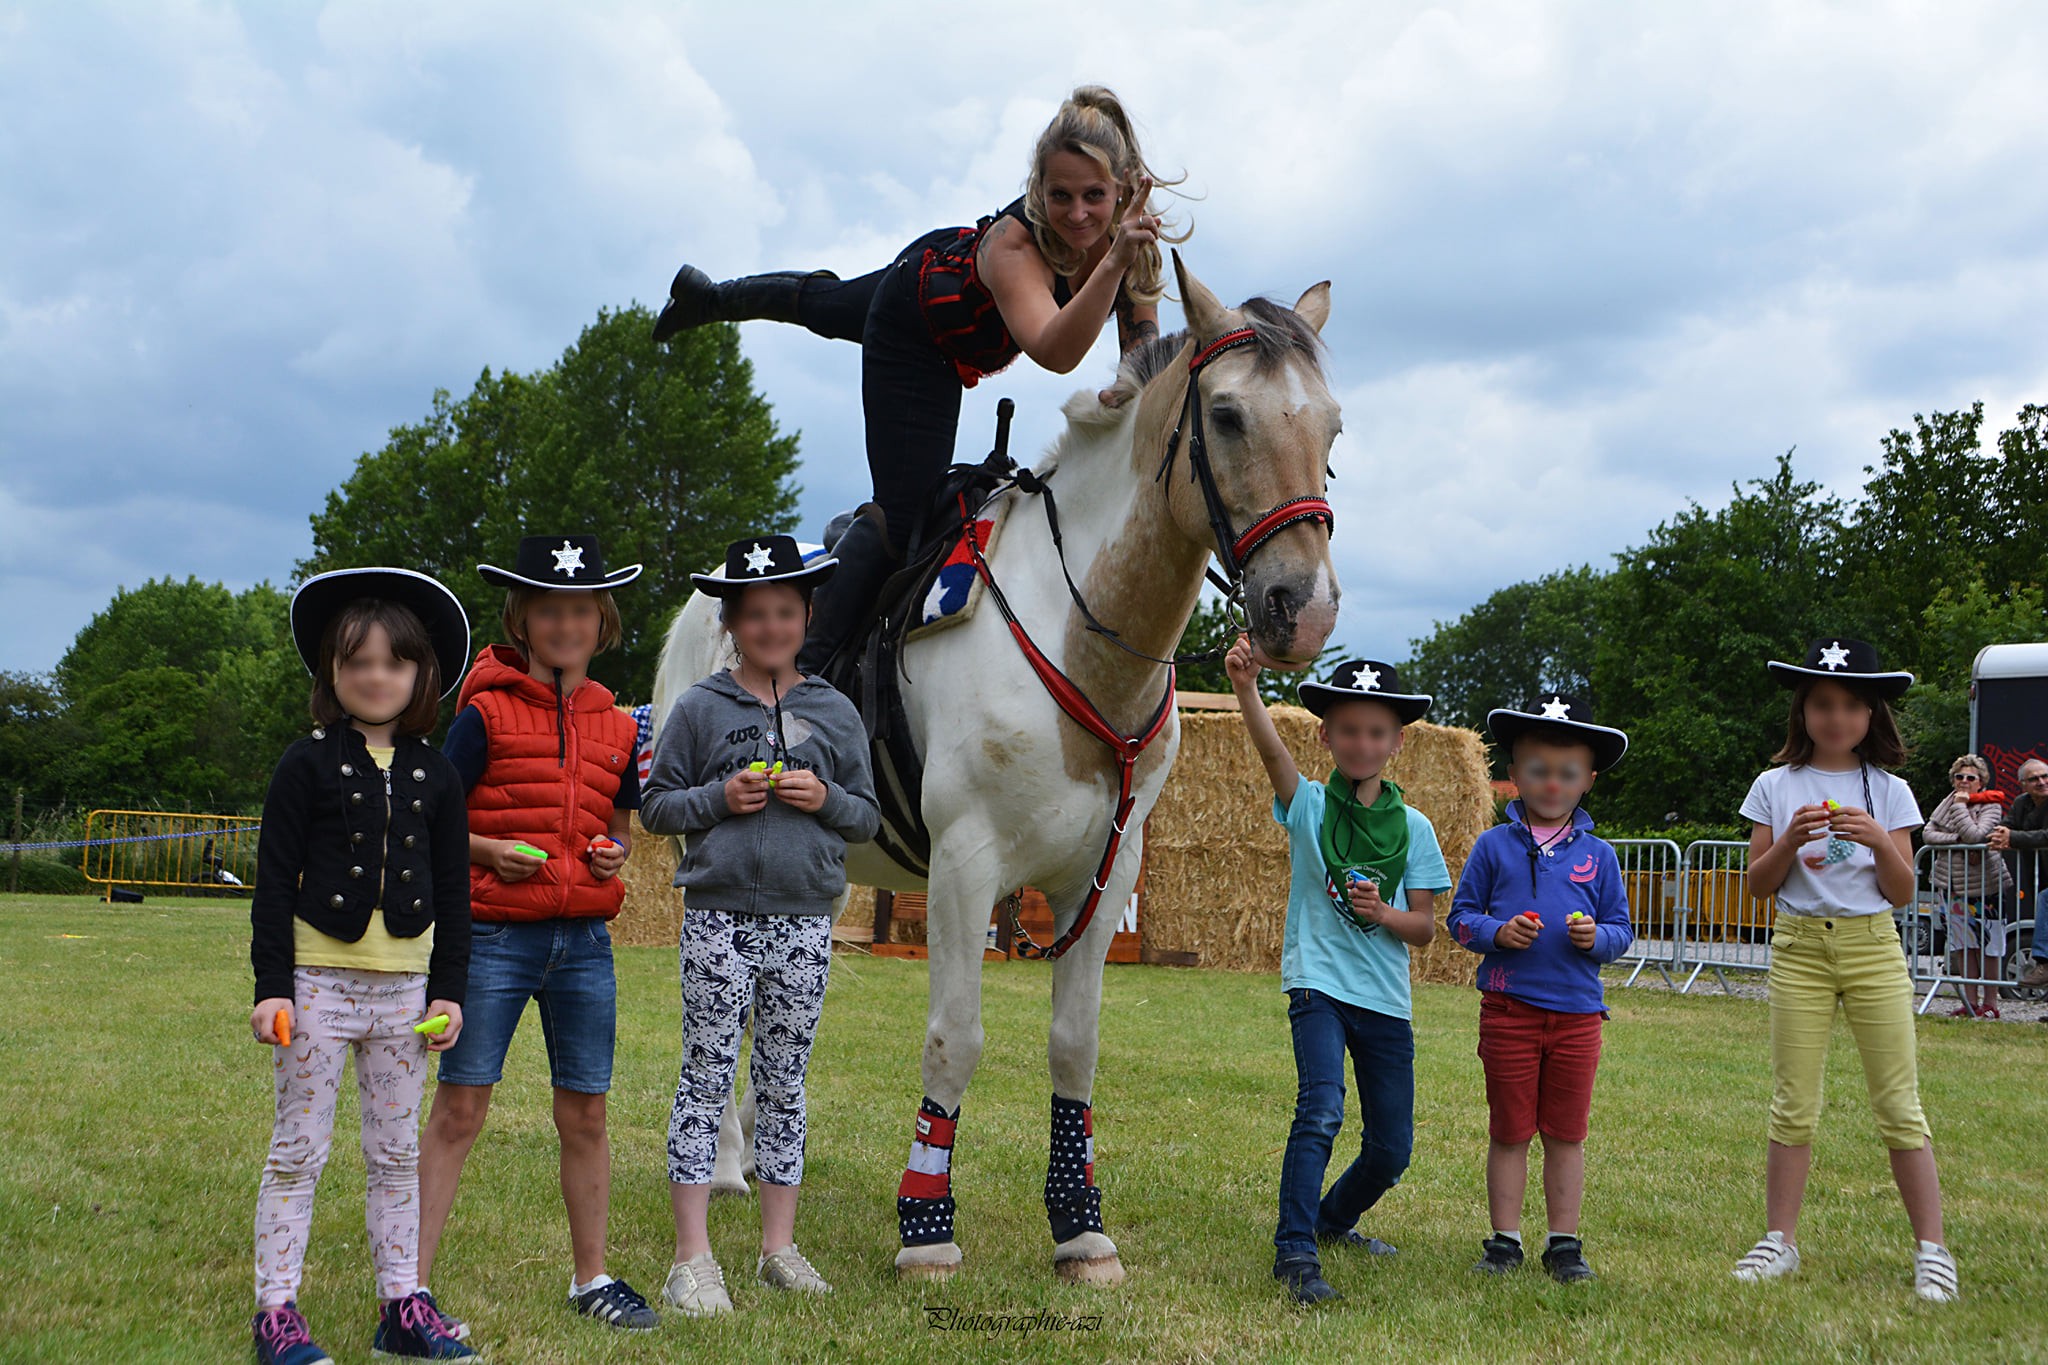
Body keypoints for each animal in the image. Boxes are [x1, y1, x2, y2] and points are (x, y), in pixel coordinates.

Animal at [647, 253, 1335, 1285]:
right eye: (1226, 416)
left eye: (1332, 426)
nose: (1304, 606)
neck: (1079, 629)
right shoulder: (966, 866)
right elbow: (955, 1038)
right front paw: (925, 1225)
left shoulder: (1109, 873)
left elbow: (1075, 1045)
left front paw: (1081, 1226)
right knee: (721, 1008)